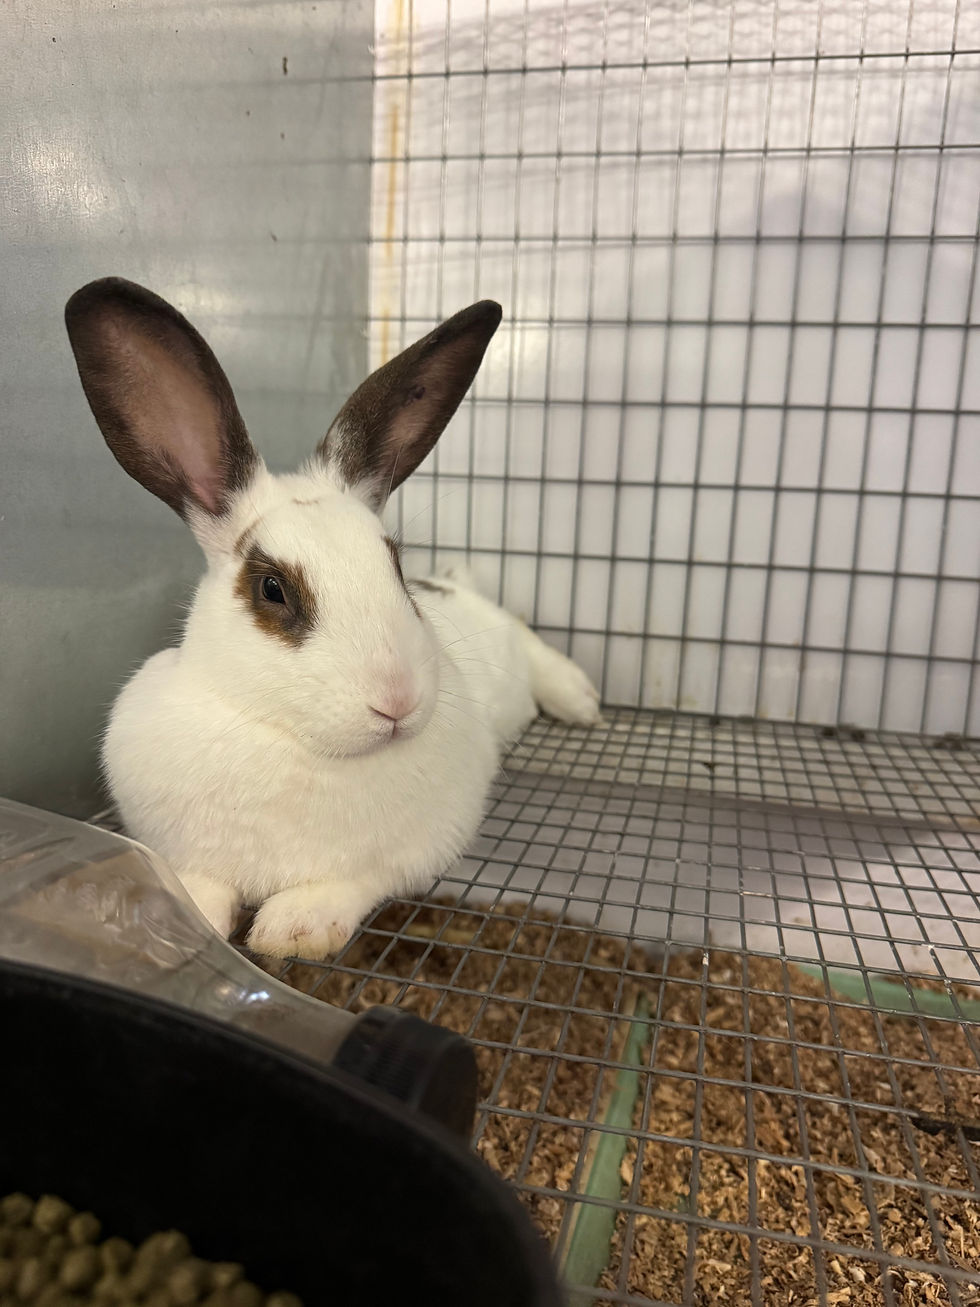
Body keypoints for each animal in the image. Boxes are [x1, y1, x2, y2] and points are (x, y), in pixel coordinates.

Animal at [65, 277, 601, 959]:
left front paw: (293, 931)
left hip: (510, 641)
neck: (299, 747)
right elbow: (197, 886)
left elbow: (348, 884)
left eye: (396, 567)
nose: (397, 701)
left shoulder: (404, 856)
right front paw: (180, 922)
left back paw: (581, 701)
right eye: (272, 589)